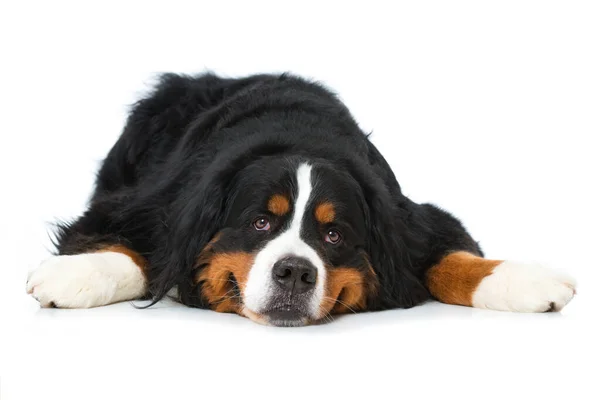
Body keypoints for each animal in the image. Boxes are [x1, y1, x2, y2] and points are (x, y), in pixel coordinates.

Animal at [25, 73, 576, 326]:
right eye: (260, 223)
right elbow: (137, 251)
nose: (294, 272)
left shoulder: (412, 220)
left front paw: (525, 279)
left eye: (334, 234)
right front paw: (73, 276)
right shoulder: (145, 207)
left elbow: (449, 258)